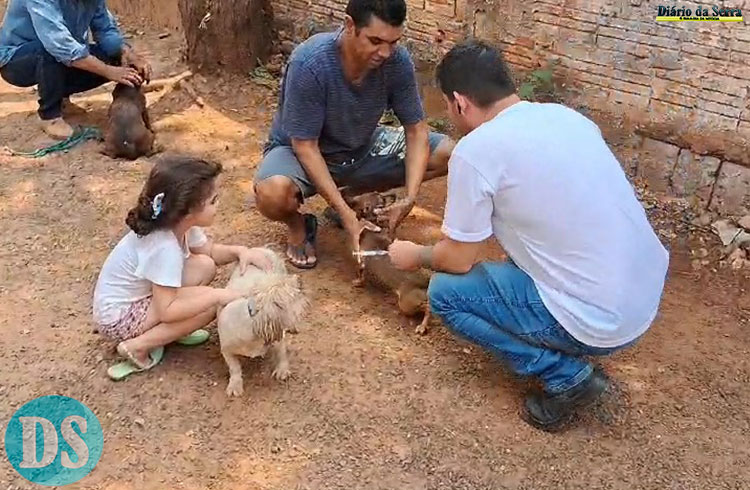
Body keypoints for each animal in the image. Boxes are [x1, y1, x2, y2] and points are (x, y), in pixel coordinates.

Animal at [217, 247, 308, 396]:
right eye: (292, 293)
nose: (299, 279)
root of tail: (261, 248)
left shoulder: (278, 337)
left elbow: (282, 353)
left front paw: (282, 371)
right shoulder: (226, 350)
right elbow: (234, 368)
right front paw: (235, 385)